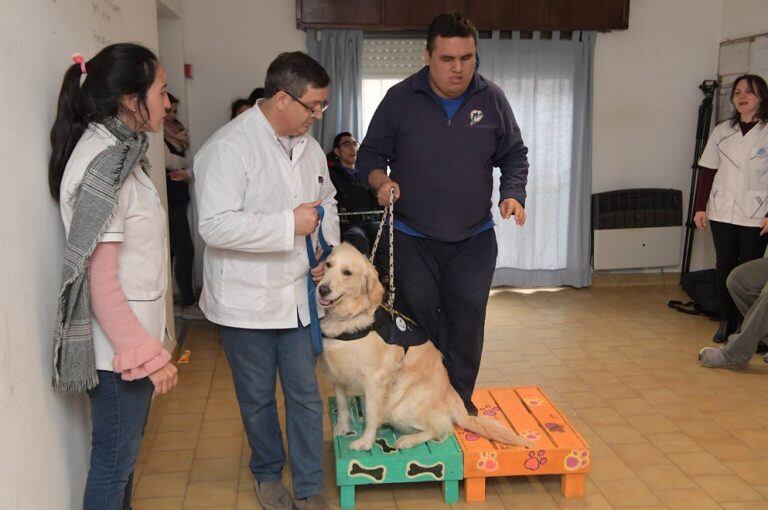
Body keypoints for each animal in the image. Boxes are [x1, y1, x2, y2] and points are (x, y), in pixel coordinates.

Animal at [312, 243, 528, 450]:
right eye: (328, 265)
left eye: (347, 273)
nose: (322, 289)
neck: (347, 319)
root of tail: (452, 395)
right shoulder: (337, 376)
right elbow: (342, 407)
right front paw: (341, 430)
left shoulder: (375, 380)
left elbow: (372, 414)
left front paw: (365, 442)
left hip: (399, 404)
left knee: (441, 428)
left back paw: (408, 440)